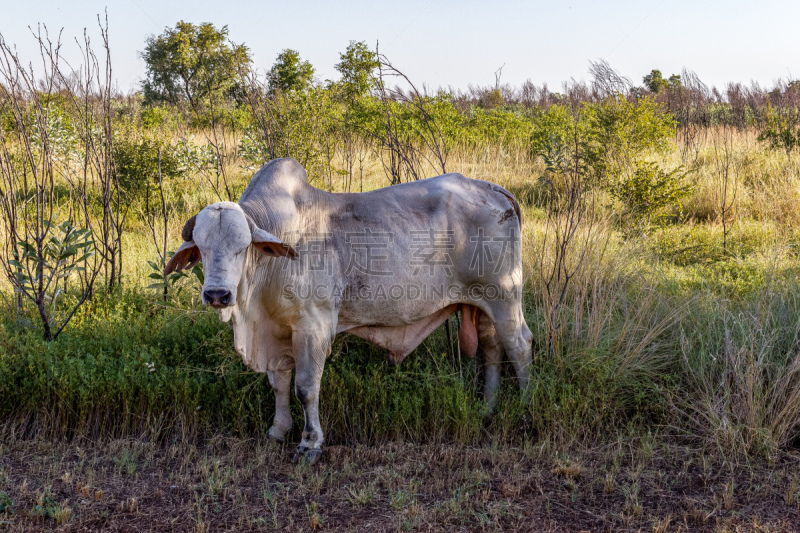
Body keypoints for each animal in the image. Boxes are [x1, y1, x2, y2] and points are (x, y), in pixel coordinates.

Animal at [164, 157, 532, 462]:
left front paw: (310, 443)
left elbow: (305, 387)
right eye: (201, 248)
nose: (217, 294)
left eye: (242, 247)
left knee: (519, 346)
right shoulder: (278, 330)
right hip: (481, 303)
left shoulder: (313, 327)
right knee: (492, 349)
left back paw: (525, 403)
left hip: (504, 295)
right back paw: (487, 408)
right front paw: (279, 430)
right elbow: (279, 383)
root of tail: (491, 188)